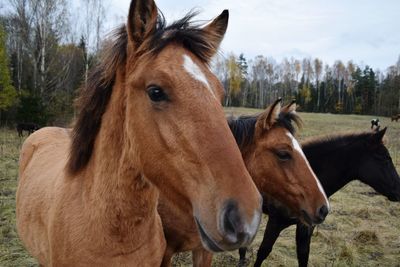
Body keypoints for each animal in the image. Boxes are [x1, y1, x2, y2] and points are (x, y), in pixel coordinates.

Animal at [241, 127, 400, 267]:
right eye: (384, 158)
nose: (398, 191)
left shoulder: (306, 227)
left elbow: (303, 255)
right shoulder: (276, 221)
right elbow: (263, 252)